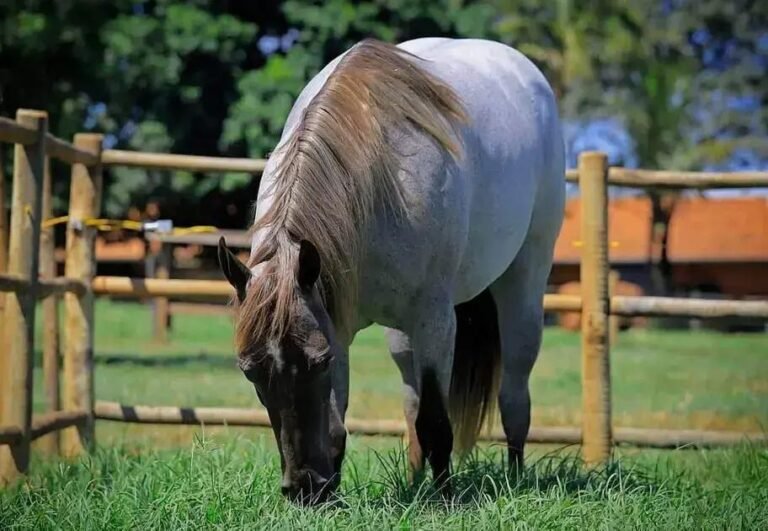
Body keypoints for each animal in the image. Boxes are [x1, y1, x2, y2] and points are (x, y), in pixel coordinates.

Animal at [218, 37, 565, 504]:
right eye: (249, 370)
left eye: (318, 363)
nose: (304, 487)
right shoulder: (336, 319)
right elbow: (341, 425)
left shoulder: (434, 319)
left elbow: (437, 421)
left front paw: (444, 499)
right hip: (401, 334)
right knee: (411, 399)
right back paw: (414, 481)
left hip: (524, 280)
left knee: (514, 393)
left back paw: (514, 478)